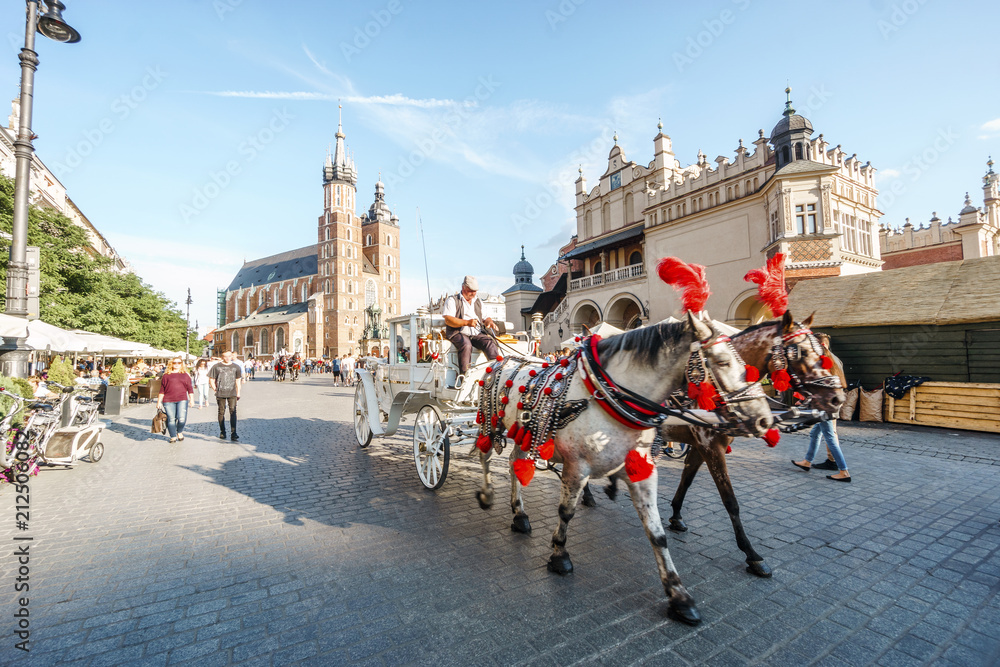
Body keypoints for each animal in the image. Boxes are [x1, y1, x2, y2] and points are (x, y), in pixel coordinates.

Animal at [476, 314, 772, 628]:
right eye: (723, 361)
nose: (765, 419)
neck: (608, 397)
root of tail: (501, 359)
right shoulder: (577, 466)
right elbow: (566, 512)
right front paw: (559, 555)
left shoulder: (643, 470)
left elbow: (657, 533)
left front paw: (679, 596)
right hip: (490, 422)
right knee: (485, 456)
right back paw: (487, 495)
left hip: (523, 434)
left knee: (513, 464)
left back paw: (519, 514)